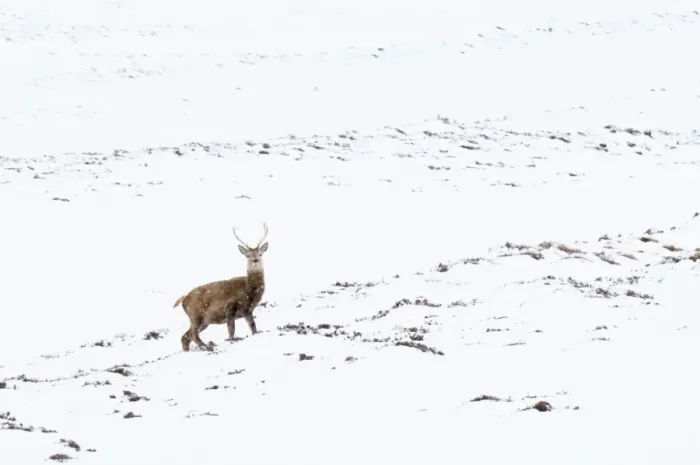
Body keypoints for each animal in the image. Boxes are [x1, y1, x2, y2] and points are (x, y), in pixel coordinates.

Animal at [173, 223, 269, 351]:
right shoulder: (230, 307)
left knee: (185, 337)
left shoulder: (247, 311)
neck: (249, 290)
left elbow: (253, 327)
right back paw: (207, 346)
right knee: (193, 333)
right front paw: (231, 341)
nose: (255, 260)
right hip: (195, 315)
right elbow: (231, 330)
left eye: (260, 253)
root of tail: (183, 298)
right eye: (247, 255)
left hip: (204, 321)